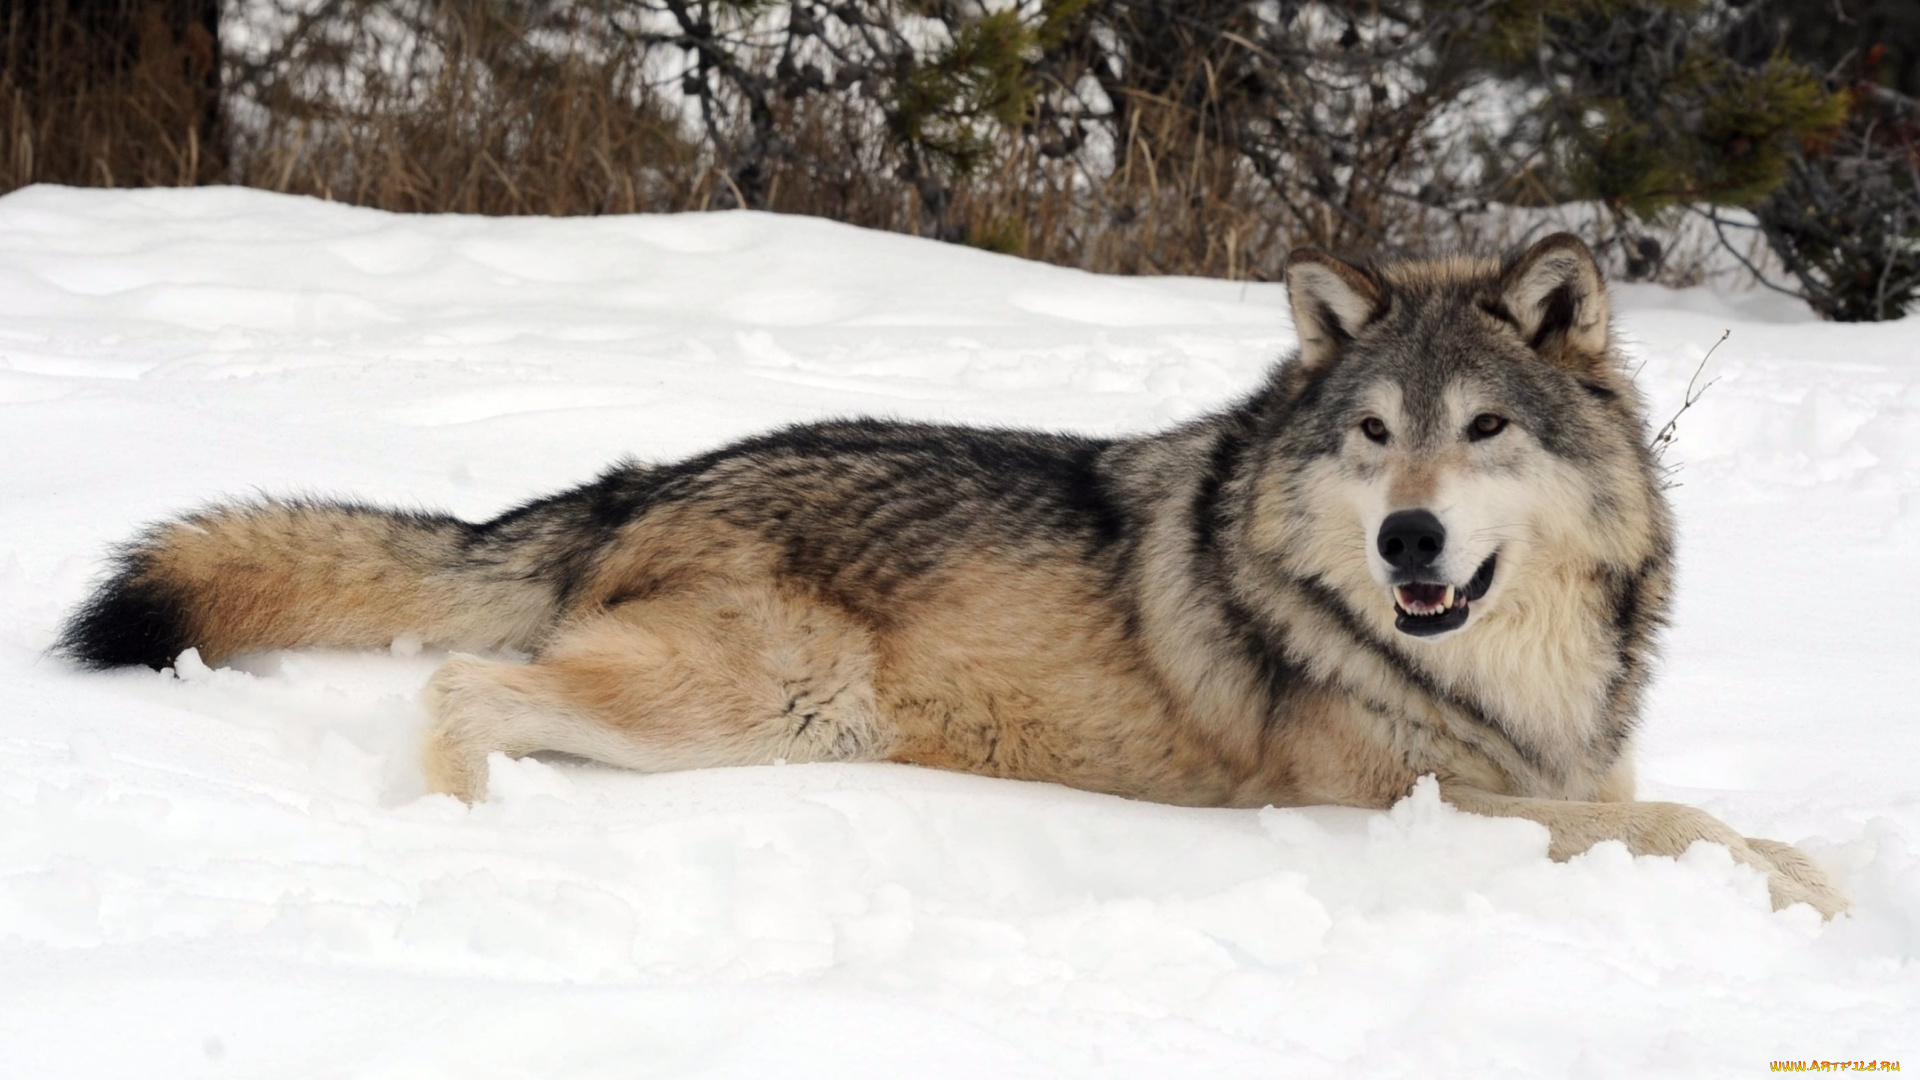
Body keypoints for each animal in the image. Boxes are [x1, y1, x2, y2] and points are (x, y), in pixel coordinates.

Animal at [56, 231, 1843, 910]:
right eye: (1373, 435)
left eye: (1481, 431)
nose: (1408, 538)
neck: (1489, 661)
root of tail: (651, 476)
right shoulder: (1394, 808)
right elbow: (1684, 827)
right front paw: (1810, 884)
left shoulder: (1572, 771)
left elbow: (1661, 805)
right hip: (764, 703)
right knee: (461, 685)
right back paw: (465, 842)